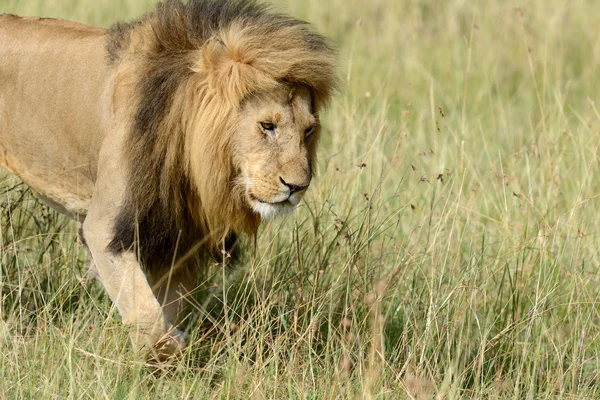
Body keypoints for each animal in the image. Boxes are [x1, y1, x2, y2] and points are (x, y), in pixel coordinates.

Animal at [0, 0, 338, 356]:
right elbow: (149, 317)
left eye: (309, 130)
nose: (297, 186)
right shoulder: (105, 227)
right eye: (267, 126)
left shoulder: (179, 237)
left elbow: (169, 309)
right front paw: (169, 348)